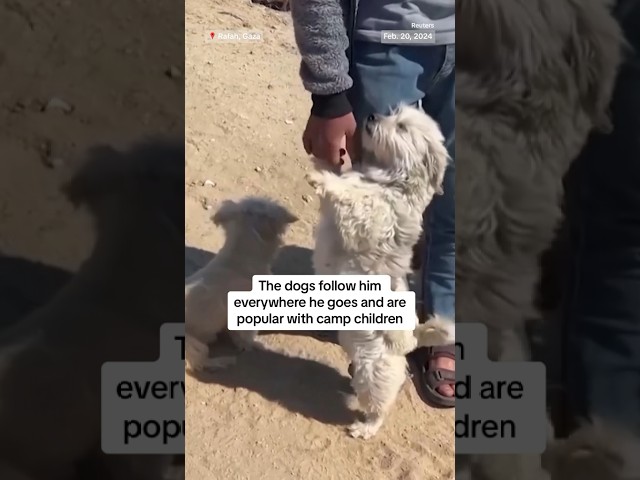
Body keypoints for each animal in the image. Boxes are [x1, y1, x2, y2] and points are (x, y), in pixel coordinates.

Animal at [184, 197, 296, 374]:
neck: (236, 259)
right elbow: (248, 336)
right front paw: (255, 345)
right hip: (192, 344)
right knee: (197, 364)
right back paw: (223, 361)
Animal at [308, 105, 452, 438]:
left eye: (402, 127)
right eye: (394, 112)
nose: (372, 117)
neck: (388, 181)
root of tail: (412, 338)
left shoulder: (370, 220)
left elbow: (352, 199)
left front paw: (323, 177)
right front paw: (324, 163)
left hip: (374, 372)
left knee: (380, 407)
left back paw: (365, 428)